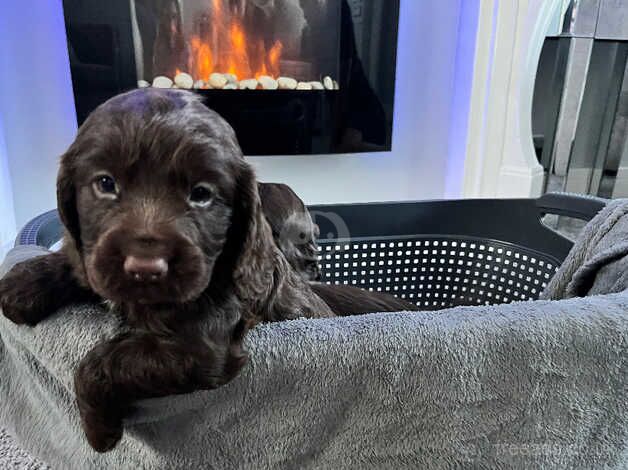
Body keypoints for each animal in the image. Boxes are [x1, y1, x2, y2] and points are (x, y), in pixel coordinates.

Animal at [0, 88, 334, 452]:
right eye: (105, 183)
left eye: (201, 194)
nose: (145, 268)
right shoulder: (101, 263)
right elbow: (82, 265)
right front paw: (22, 284)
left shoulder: (200, 348)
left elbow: (106, 362)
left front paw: (98, 427)